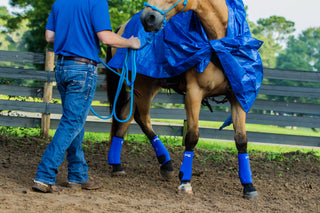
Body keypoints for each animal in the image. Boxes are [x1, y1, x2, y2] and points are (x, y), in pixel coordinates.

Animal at [107, 0, 260, 200]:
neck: (219, 42)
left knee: (127, 116)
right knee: (142, 119)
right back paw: (165, 163)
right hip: (142, 87)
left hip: (147, 87)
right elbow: (192, 136)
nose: (147, 18)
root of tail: (122, 29)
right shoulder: (194, 93)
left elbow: (241, 140)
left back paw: (121, 164)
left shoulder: (238, 95)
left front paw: (248, 186)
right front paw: (185, 181)